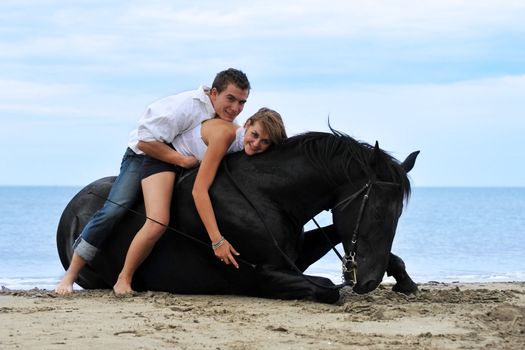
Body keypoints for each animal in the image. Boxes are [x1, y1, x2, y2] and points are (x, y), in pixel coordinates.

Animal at [57, 131, 418, 304]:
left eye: (398, 213)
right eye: (377, 211)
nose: (368, 282)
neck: (265, 194)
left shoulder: (295, 253)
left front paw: (405, 281)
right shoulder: (262, 275)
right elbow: (327, 288)